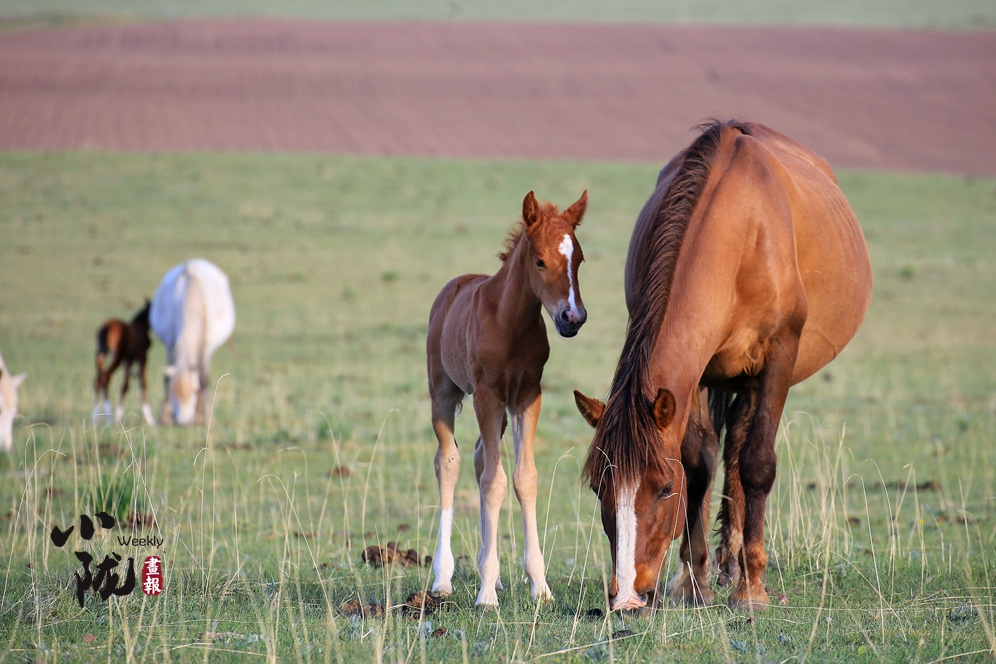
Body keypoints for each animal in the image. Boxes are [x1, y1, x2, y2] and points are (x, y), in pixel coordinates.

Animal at [150, 260, 235, 426]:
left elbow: (204, 379)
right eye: (172, 392)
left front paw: (206, 417)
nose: (183, 421)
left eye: (195, 391)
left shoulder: (206, 348)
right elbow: (167, 378)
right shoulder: (170, 343)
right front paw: (164, 417)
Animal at [424, 191, 588, 608]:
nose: (573, 317)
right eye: (540, 260)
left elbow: (523, 478)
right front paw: (484, 595)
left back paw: (492, 574)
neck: (510, 323)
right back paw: (444, 578)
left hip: (498, 413)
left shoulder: (527, 395)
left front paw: (539, 584)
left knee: (481, 456)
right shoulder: (486, 394)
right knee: (449, 461)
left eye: (579, 259)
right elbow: (494, 482)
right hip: (443, 392)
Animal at [576, 120, 872, 612]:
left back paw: (740, 568)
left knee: (743, 451)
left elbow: (757, 465)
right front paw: (694, 582)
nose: (629, 599)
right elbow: (699, 465)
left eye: (663, 488)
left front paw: (751, 591)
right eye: (601, 488)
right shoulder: (695, 375)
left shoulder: (777, 359)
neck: (742, 236)